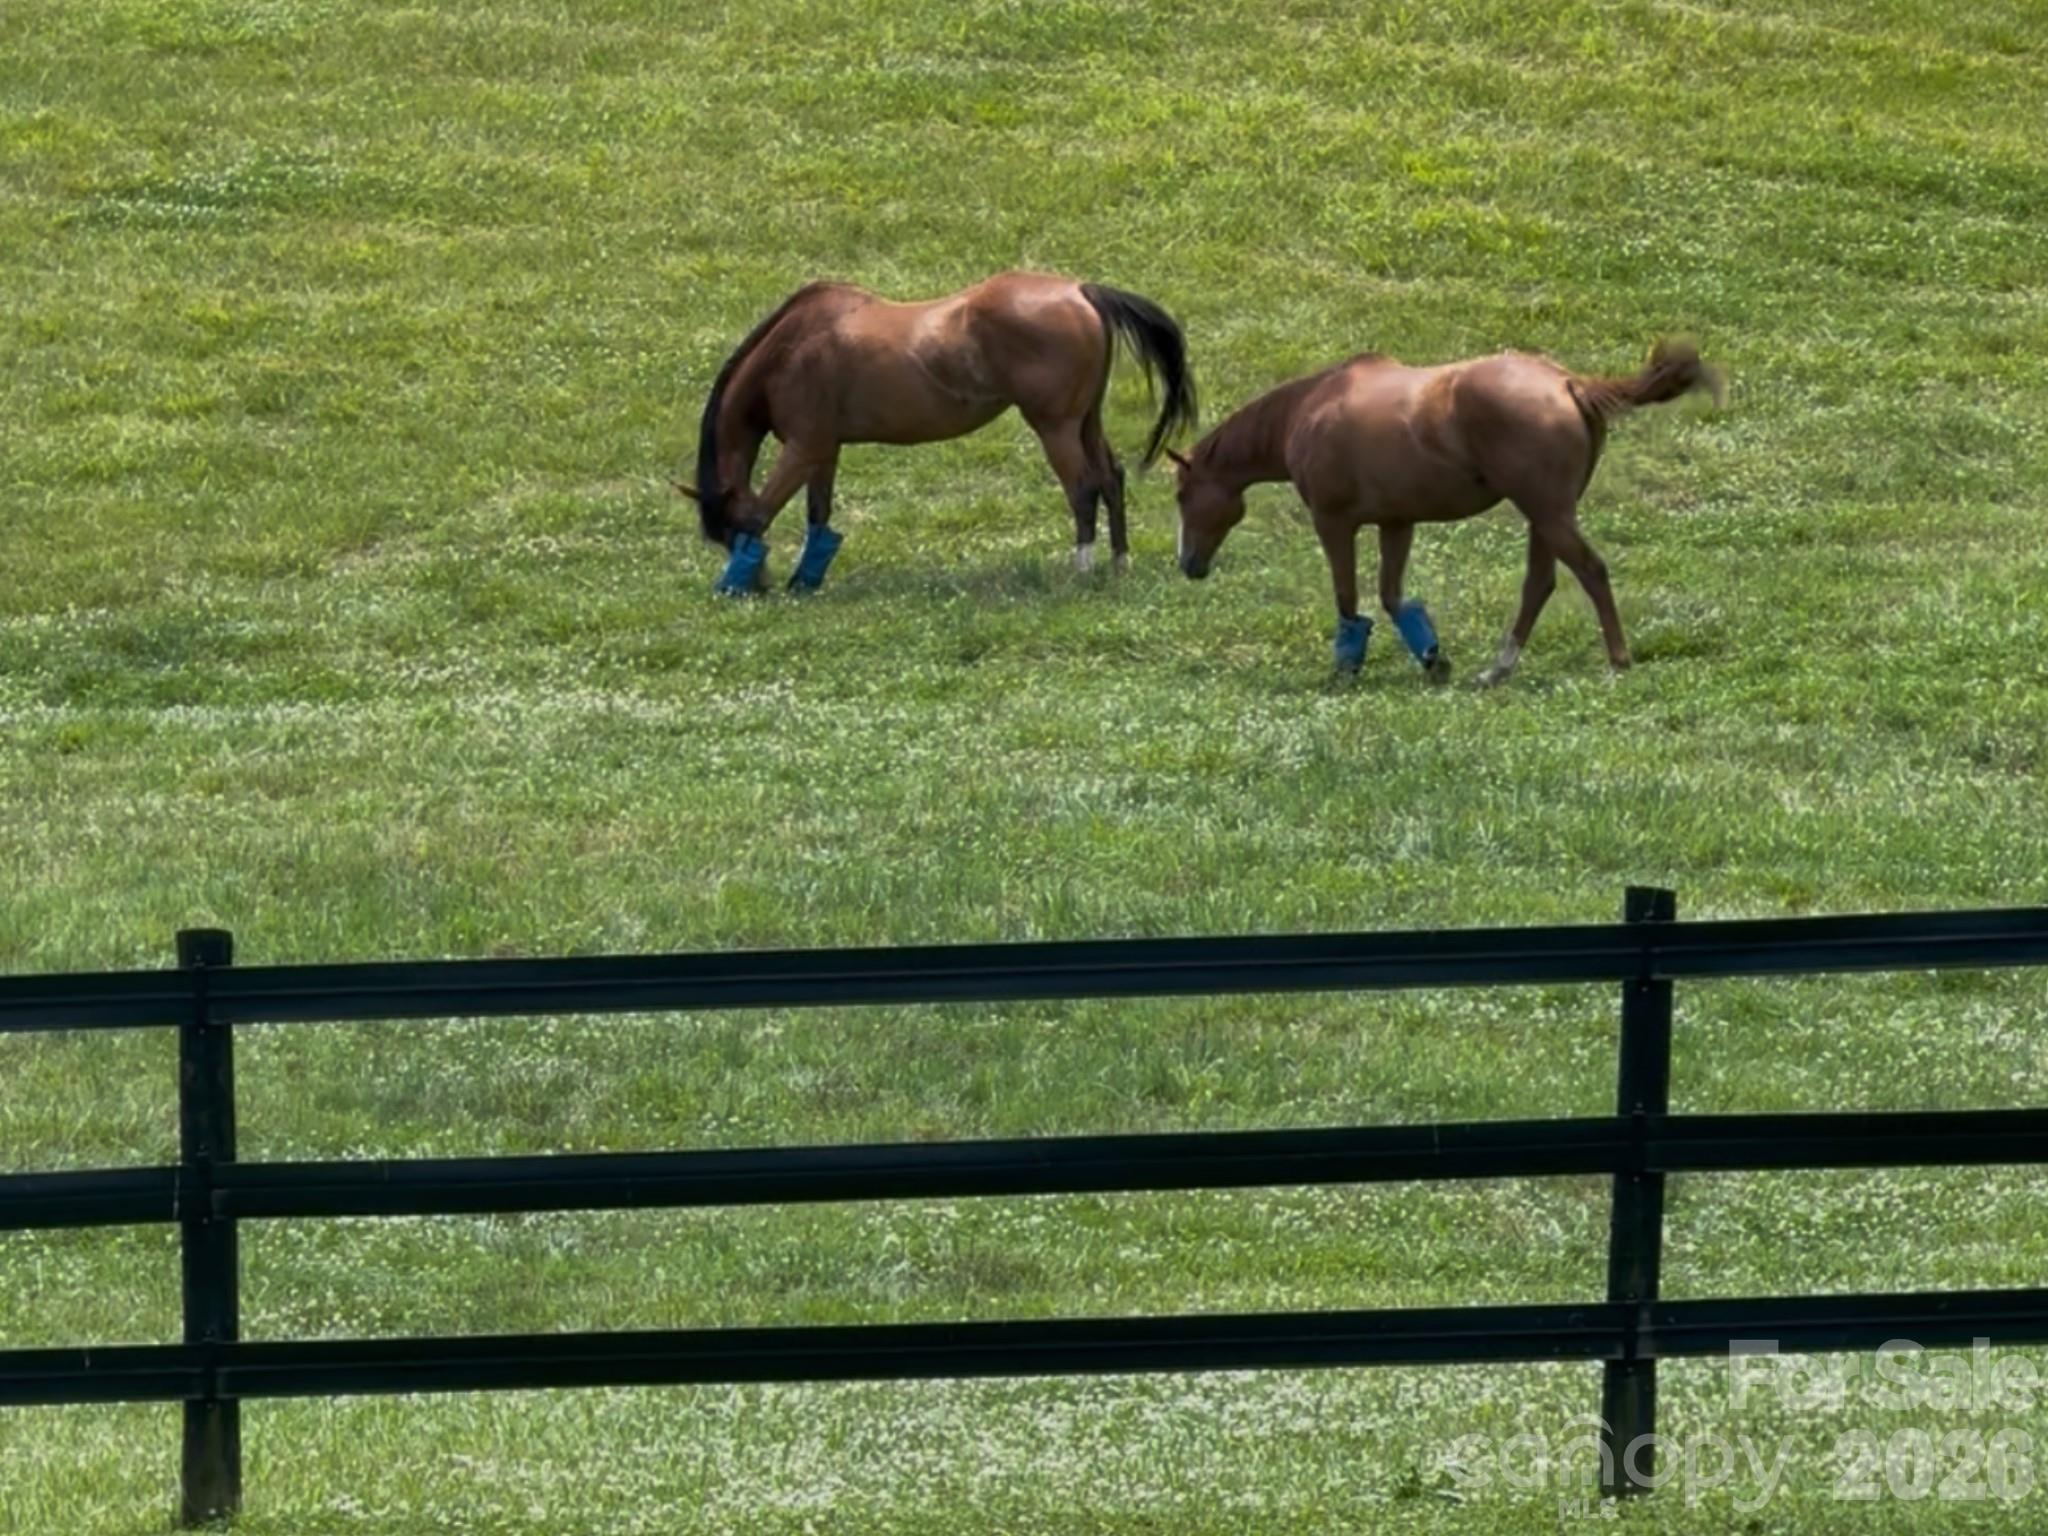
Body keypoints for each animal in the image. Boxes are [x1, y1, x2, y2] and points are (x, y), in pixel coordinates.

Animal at [675, 272, 1198, 593]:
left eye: (731, 531)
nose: (754, 587)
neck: (791, 349)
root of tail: (1081, 291)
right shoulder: (825, 451)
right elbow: (818, 518)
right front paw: (806, 581)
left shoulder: (804, 449)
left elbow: (767, 509)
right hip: (1086, 420)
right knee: (1110, 478)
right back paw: (1119, 563)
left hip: (1056, 427)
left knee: (1084, 488)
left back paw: (1083, 568)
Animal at [1167, 340, 1720, 684]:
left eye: (1180, 494)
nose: (1187, 564)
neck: (1309, 410)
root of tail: (1568, 383)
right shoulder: (1396, 523)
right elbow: (1393, 598)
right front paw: (1433, 658)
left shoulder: (1334, 522)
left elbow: (1349, 599)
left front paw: (1346, 666)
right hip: (1544, 518)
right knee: (1539, 585)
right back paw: (1497, 669)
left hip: (1548, 514)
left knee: (1590, 571)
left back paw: (1617, 660)